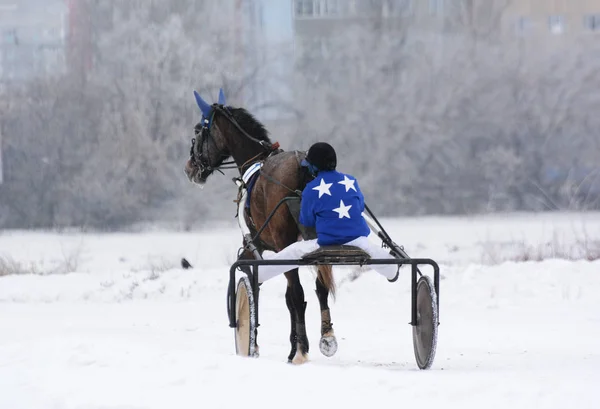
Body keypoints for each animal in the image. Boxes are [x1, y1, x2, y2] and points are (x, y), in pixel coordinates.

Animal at [183, 90, 338, 364]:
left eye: (198, 132)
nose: (190, 168)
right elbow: (291, 298)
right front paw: (292, 346)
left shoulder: (257, 245)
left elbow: (267, 289)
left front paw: (257, 343)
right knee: (319, 288)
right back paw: (326, 336)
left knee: (298, 294)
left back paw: (302, 350)